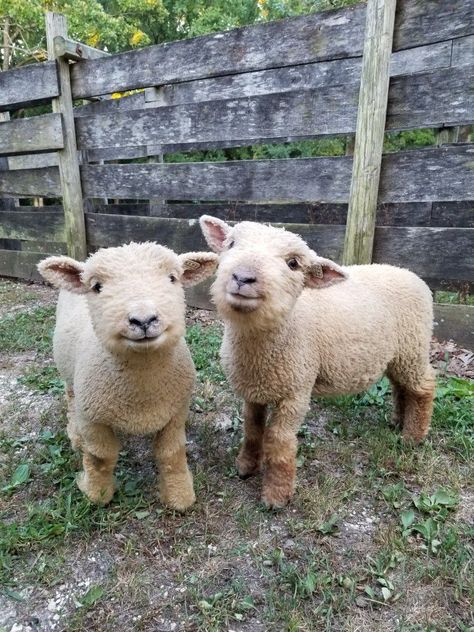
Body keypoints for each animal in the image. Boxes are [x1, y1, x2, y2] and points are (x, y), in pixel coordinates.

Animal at [38, 241, 218, 508]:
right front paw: (96, 493)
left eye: (173, 278)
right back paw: (75, 437)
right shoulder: (92, 417)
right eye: (97, 286)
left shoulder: (176, 412)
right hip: (70, 375)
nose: (143, 320)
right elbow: (100, 456)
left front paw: (179, 495)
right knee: (70, 398)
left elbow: (171, 452)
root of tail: (82, 261)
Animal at [198, 216, 436, 508]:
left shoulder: (296, 392)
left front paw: (276, 494)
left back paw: (412, 437)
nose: (243, 277)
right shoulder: (254, 389)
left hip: (414, 347)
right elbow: (252, 428)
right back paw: (399, 421)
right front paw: (246, 466)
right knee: (401, 386)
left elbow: (279, 441)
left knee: (423, 387)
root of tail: (409, 273)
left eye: (293, 264)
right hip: (398, 355)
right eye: (231, 244)